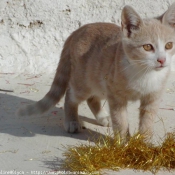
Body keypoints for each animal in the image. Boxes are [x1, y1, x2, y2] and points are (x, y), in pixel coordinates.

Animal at [17, 3, 175, 141]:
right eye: (147, 47)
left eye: (169, 45)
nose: (162, 60)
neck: (144, 72)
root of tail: (77, 31)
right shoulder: (116, 96)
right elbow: (121, 120)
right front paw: (124, 144)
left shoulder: (152, 97)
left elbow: (147, 121)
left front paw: (144, 144)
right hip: (84, 82)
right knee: (71, 95)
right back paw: (72, 121)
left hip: (99, 82)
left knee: (92, 98)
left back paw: (103, 117)